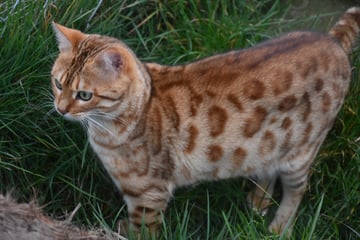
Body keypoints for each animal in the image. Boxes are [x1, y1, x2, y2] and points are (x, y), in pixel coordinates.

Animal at [51, 7, 360, 236]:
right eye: (57, 84)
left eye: (84, 95)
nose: (61, 109)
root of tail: (332, 41)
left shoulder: (150, 195)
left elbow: (143, 230)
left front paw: (127, 231)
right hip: (268, 143)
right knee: (267, 166)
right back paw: (258, 201)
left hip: (300, 153)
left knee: (298, 190)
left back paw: (279, 227)